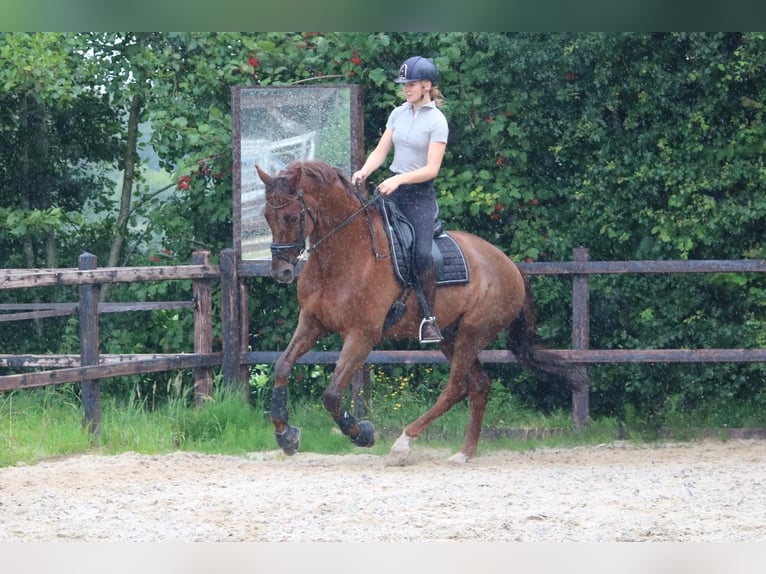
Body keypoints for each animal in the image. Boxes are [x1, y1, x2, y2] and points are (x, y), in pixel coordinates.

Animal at [258, 161, 576, 464]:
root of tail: (510, 266)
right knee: (478, 386)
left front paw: (362, 433)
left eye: (291, 217)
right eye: (266, 217)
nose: (281, 272)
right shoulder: (312, 321)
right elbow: (282, 366)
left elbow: (332, 394)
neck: (344, 255)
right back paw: (465, 452)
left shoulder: (362, 335)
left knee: (455, 388)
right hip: (450, 336)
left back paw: (405, 442)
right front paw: (285, 435)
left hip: (473, 334)